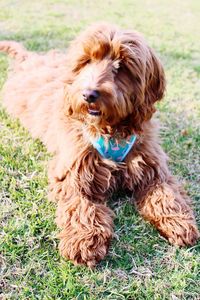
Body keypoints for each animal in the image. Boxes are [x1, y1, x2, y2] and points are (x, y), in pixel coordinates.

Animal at [0, 23, 199, 268]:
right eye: (86, 61)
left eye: (122, 66)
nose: (89, 94)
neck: (110, 130)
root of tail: (30, 59)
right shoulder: (73, 171)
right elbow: (80, 204)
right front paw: (84, 239)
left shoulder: (152, 166)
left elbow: (166, 194)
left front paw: (178, 222)